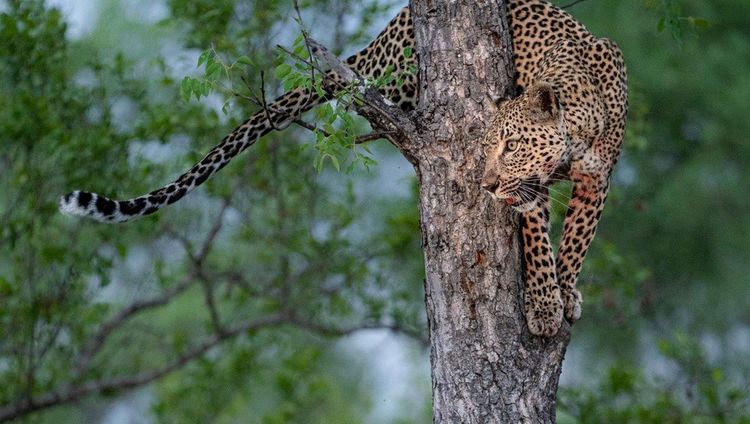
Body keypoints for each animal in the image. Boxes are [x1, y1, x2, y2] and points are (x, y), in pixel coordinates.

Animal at [58, 0, 628, 338]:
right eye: (490, 147)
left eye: (511, 146)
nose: (487, 184)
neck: (579, 124)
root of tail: (392, 25)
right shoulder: (532, 191)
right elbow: (538, 241)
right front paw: (545, 302)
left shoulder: (597, 180)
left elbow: (578, 239)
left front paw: (568, 288)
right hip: (402, 80)